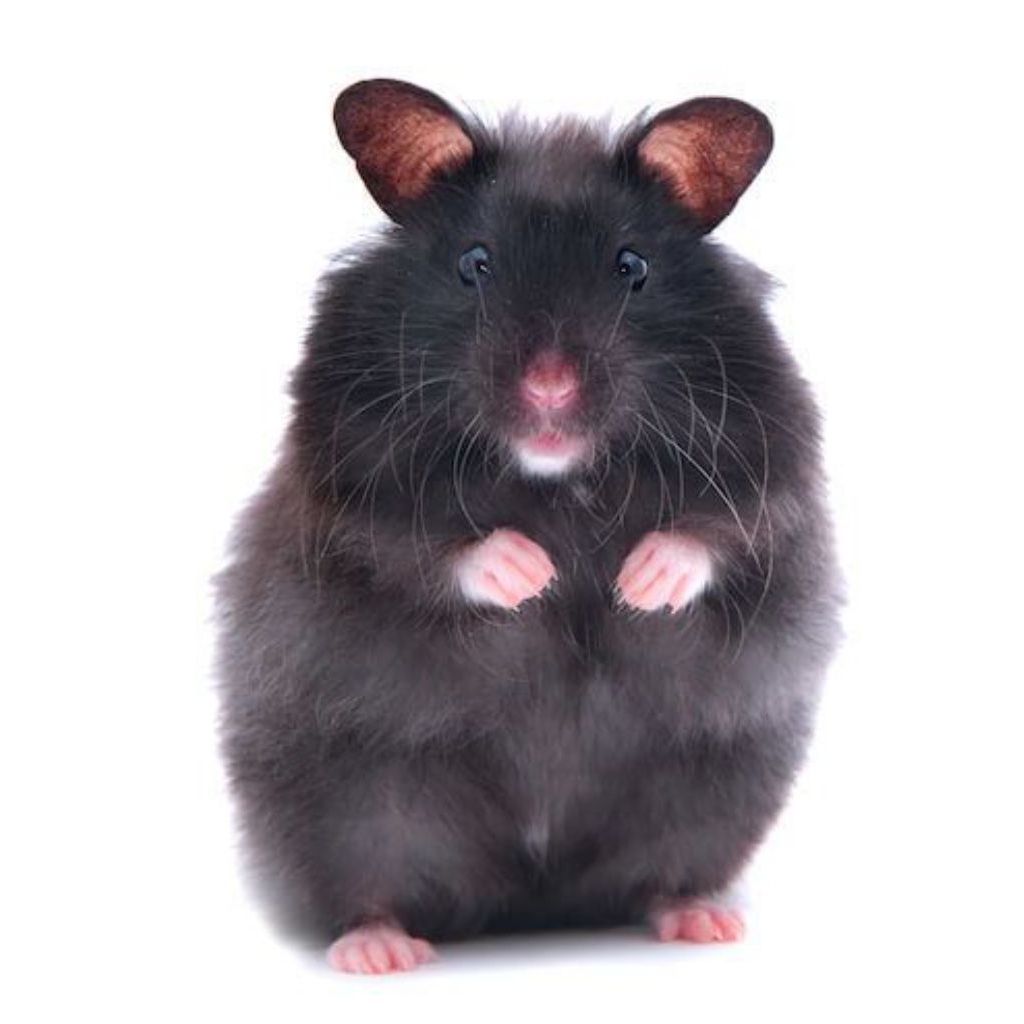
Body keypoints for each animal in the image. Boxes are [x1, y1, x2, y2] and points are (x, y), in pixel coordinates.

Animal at [216, 79, 842, 974]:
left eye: (631, 266)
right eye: (474, 264)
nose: (550, 389)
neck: (557, 477)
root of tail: (532, 896)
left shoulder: (772, 477)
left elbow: (719, 533)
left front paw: (637, 584)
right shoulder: (349, 491)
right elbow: (421, 547)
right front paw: (532, 574)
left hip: (710, 796)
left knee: (663, 872)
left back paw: (703, 921)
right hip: (348, 809)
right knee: (366, 882)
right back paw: (379, 951)